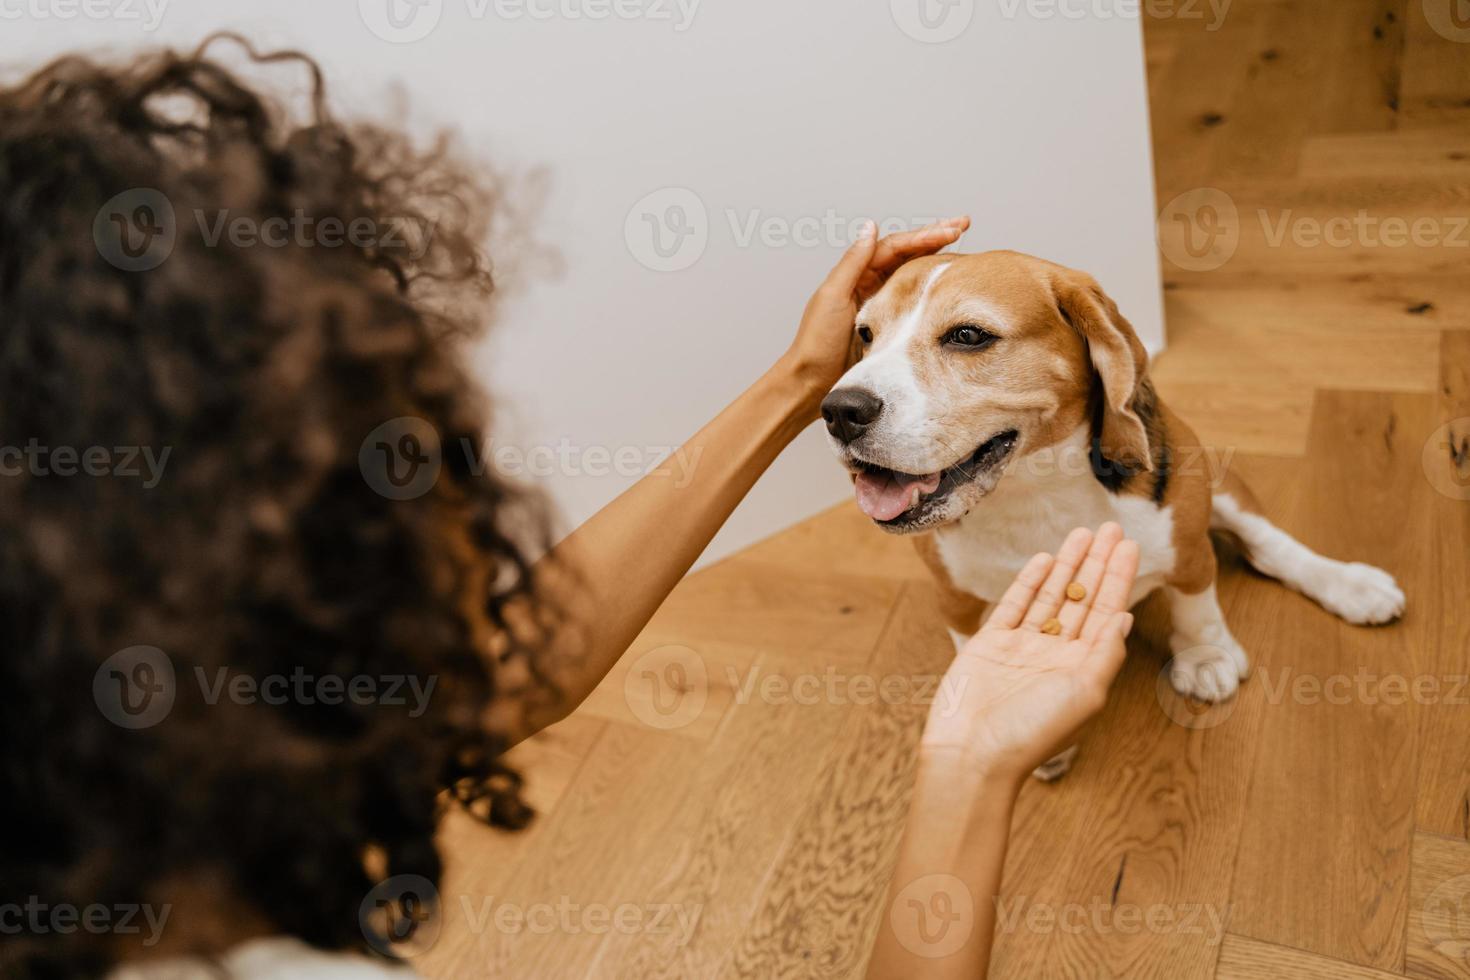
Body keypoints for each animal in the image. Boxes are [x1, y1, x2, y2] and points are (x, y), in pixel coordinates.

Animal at [823, 252, 1405, 781]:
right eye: (866, 334)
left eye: (968, 335)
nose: (838, 411)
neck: (1033, 492)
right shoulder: (954, 597)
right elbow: (972, 650)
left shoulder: (1187, 543)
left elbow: (1196, 601)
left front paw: (1205, 656)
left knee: (1268, 546)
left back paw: (1351, 585)